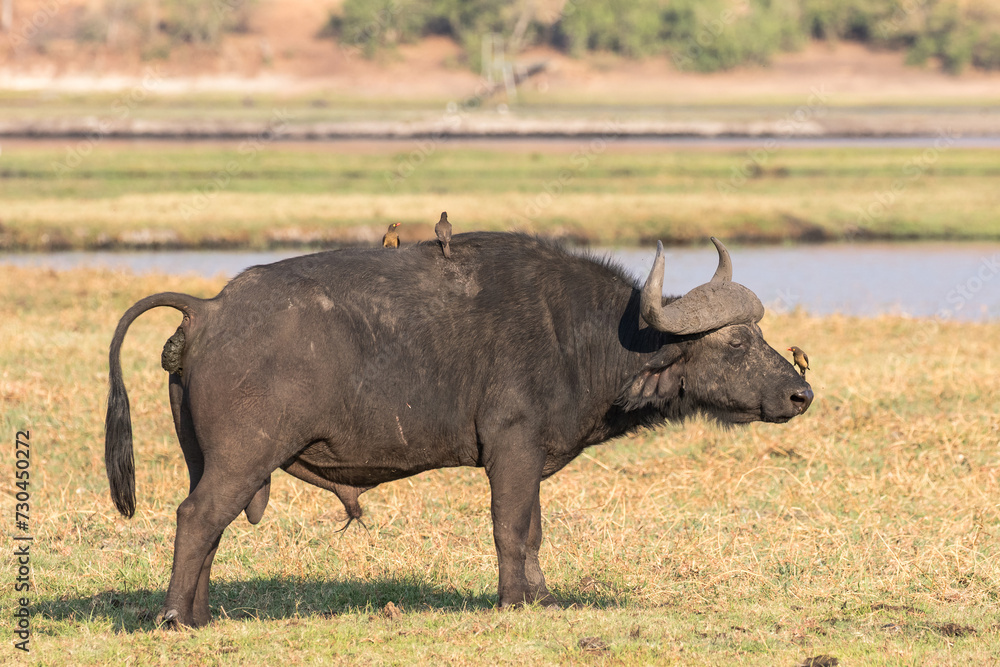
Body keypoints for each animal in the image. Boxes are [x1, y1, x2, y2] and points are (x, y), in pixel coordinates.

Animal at [105, 232, 812, 627]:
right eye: (737, 342)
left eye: (760, 334)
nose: (800, 392)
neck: (580, 335)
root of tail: (208, 309)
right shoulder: (511, 450)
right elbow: (512, 529)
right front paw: (514, 601)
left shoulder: (528, 457)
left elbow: (533, 531)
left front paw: (541, 599)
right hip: (243, 457)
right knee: (196, 517)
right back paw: (173, 618)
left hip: (210, 460)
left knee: (209, 526)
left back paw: (200, 616)